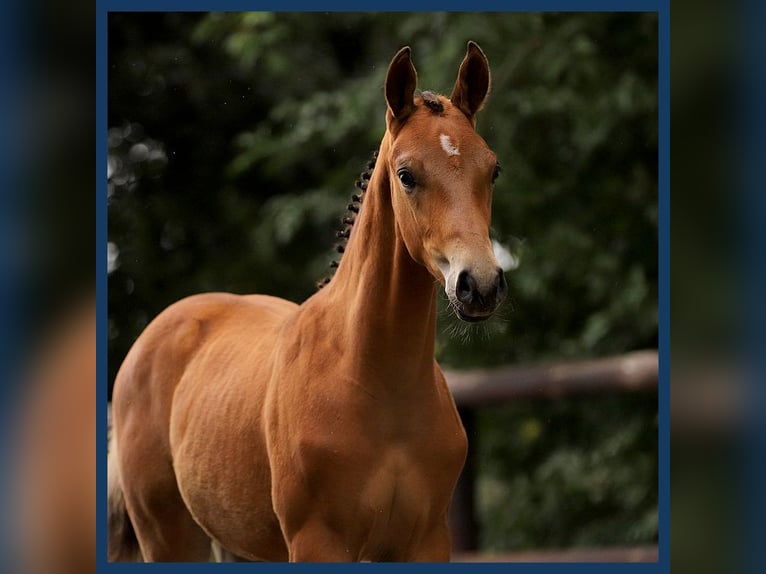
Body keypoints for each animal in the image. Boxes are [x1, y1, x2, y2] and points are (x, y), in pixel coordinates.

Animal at [105, 42, 508, 564]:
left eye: (492, 170)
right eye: (406, 175)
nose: (479, 284)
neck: (374, 379)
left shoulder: (426, 542)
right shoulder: (318, 541)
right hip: (167, 536)